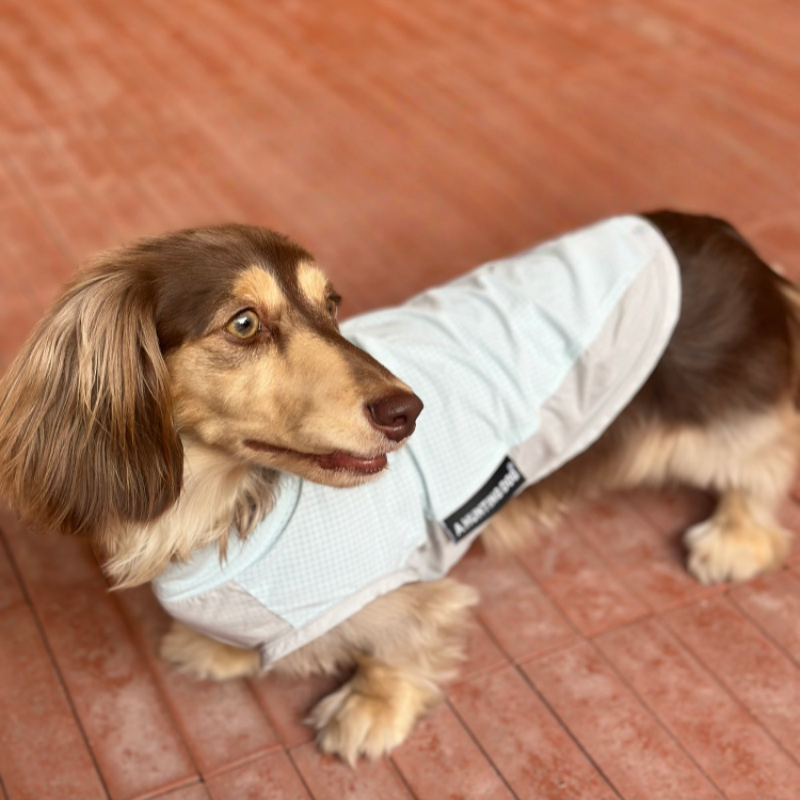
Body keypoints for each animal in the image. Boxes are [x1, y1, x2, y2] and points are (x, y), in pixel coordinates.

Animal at [0, 212, 797, 764]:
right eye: (245, 323)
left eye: (332, 303)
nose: (408, 412)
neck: (221, 505)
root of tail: (729, 239)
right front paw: (218, 648)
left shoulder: (397, 587)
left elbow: (400, 642)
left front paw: (371, 708)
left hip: (720, 417)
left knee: (769, 457)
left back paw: (737, 536)